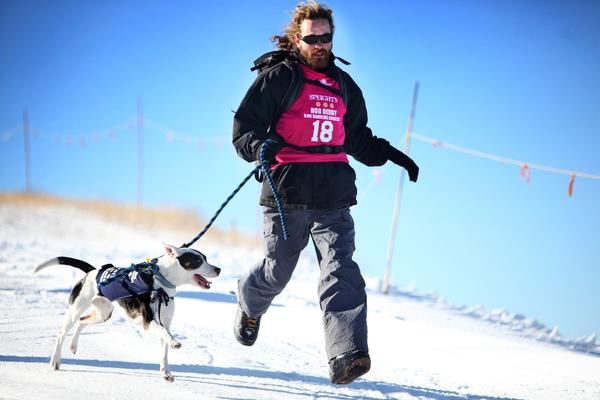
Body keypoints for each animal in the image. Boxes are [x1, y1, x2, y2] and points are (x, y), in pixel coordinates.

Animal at [34, 242, 220, 382]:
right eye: (197, 260)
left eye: (205, 258)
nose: (218, 269)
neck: (160, 281)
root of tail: (92, 271)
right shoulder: (148, 321)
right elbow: (164, 333)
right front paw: (175, 342)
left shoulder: (165, 323)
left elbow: (164, 351)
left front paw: (165, 373)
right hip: (75, 309)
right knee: (61, 333)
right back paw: (55, 361)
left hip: (103, 313)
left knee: (82, 321)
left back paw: (73, 346)